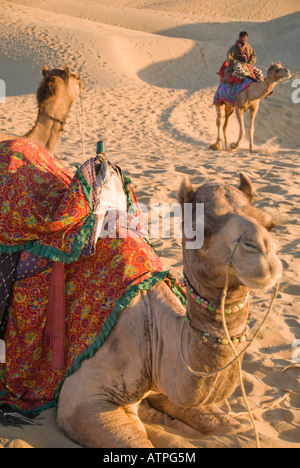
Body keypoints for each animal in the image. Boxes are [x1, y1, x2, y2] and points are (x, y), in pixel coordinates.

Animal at [55, 171, 282, 446]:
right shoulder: (81, 399)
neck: (155, 334)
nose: (263, 256)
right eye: (200, 230)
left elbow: (226, 423)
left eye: (270, 225)